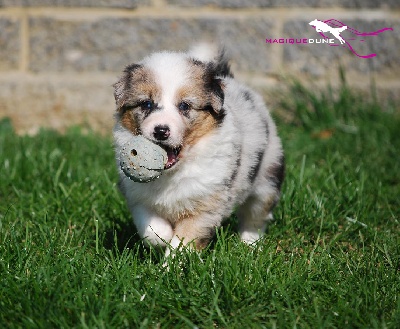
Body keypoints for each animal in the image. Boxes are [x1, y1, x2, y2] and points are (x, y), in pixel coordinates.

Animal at [112, 44, 284, 254]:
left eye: (184, 106)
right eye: (147, 104)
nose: (161, 131)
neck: (173, 173)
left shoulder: (205, 204)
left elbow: (182, 243)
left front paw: (171, 261)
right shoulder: (138, 197)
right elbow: (151, 229)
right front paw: (163, 237)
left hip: (267, 178)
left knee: (255, 217)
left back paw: (249, 245)